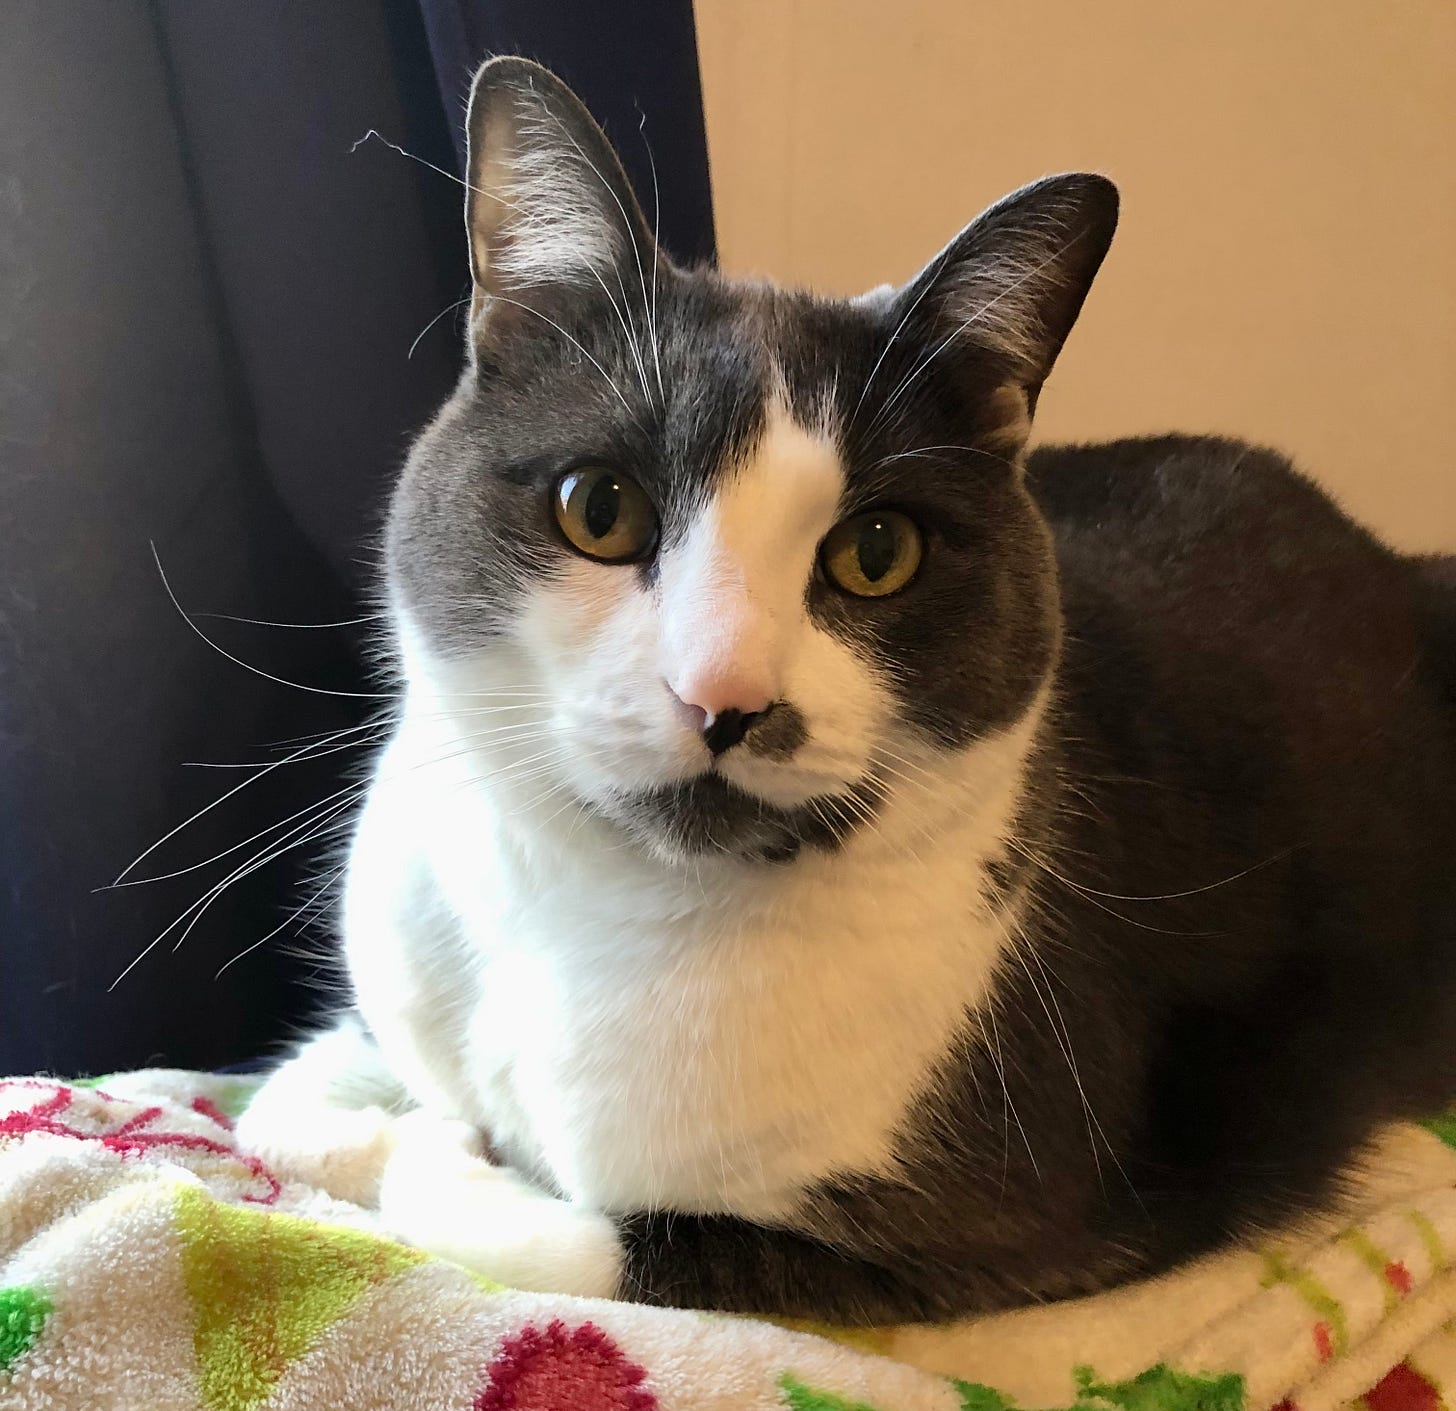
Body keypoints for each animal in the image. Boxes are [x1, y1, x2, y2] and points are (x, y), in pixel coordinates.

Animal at [238, 52, 1456, 1322]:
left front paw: (448, 1149)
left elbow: (569, 1231)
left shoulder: (1017, 1224)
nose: (724, 694)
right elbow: (282, 1103)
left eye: (878, 552)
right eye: (599, 508)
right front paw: (397, 1120)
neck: (589, 916)